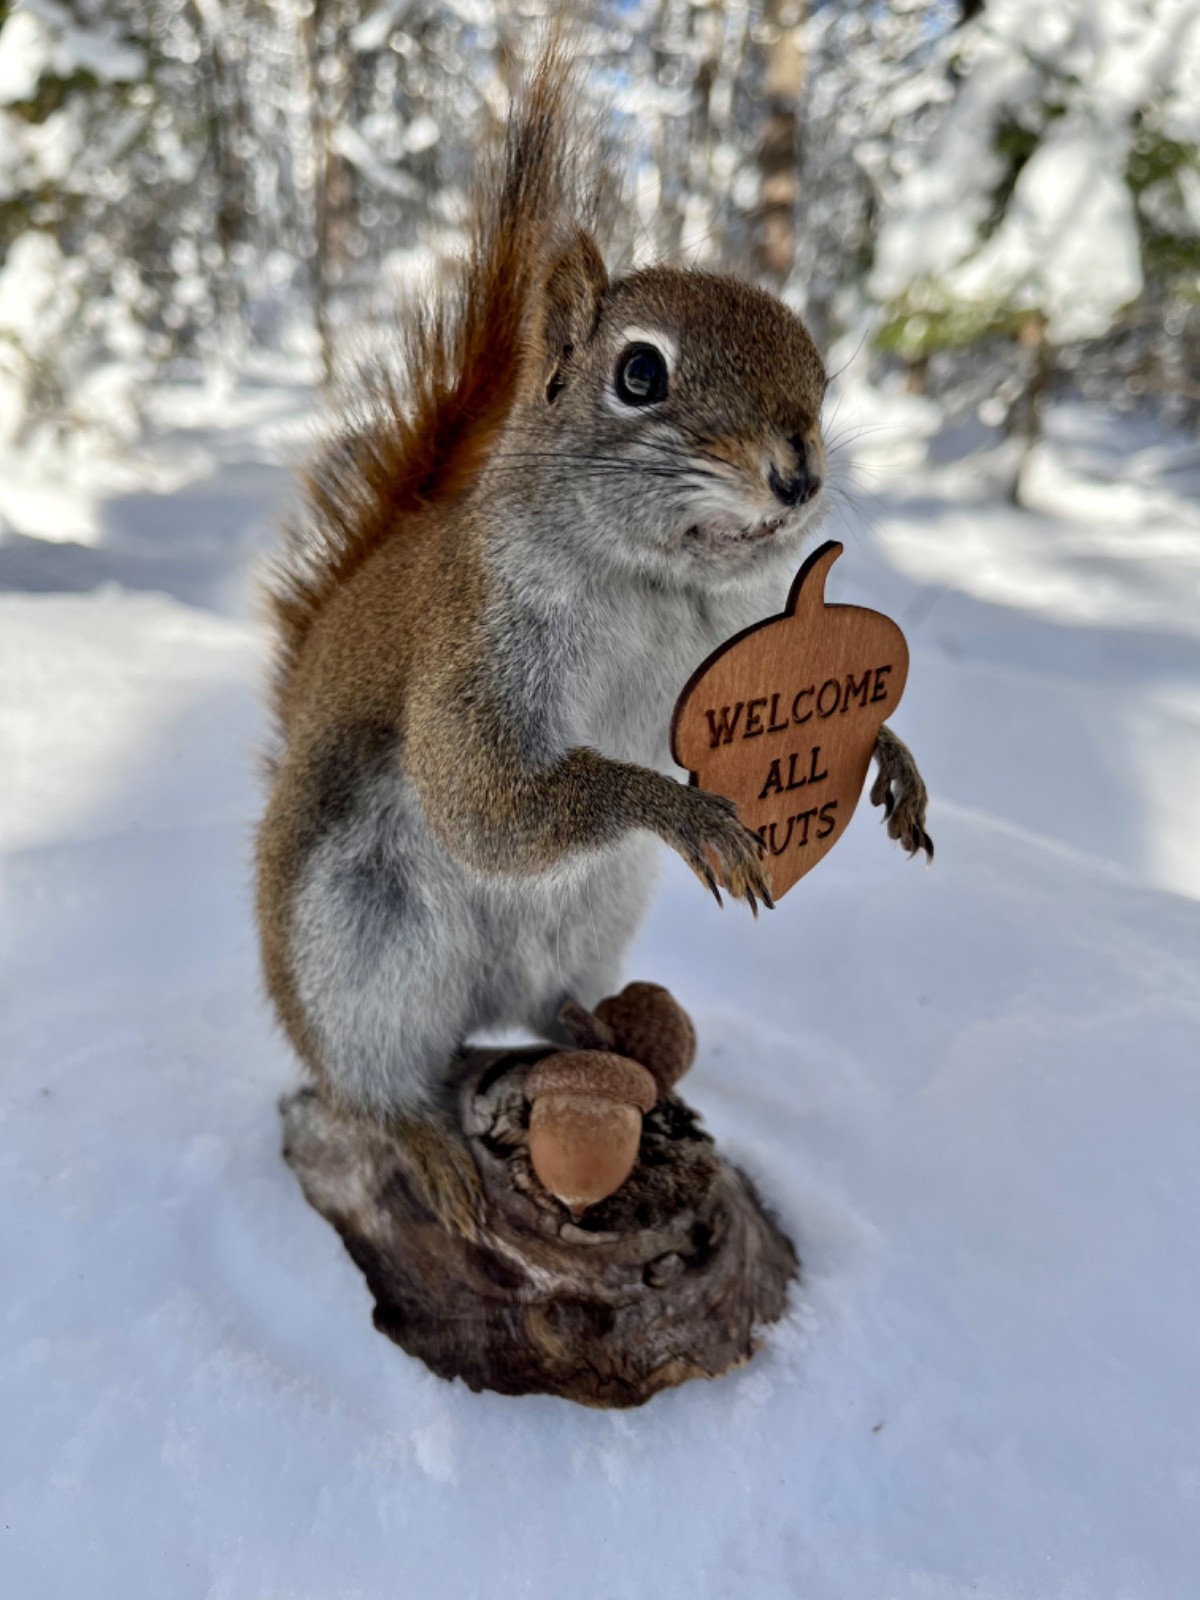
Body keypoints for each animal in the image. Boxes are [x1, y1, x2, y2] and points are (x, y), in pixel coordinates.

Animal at [256, 40, 932, 1238]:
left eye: (817, 373)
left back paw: (598, 1033)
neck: (658, 587)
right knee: (367, 1079)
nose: (800, 474)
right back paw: (424, 1143)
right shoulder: (475, 636)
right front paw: (680, 812)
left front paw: (891, 752)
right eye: (641, 373)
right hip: (353, 947)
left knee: (541, 1003)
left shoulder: (710, 676)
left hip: (589, 917)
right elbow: (480, 795)